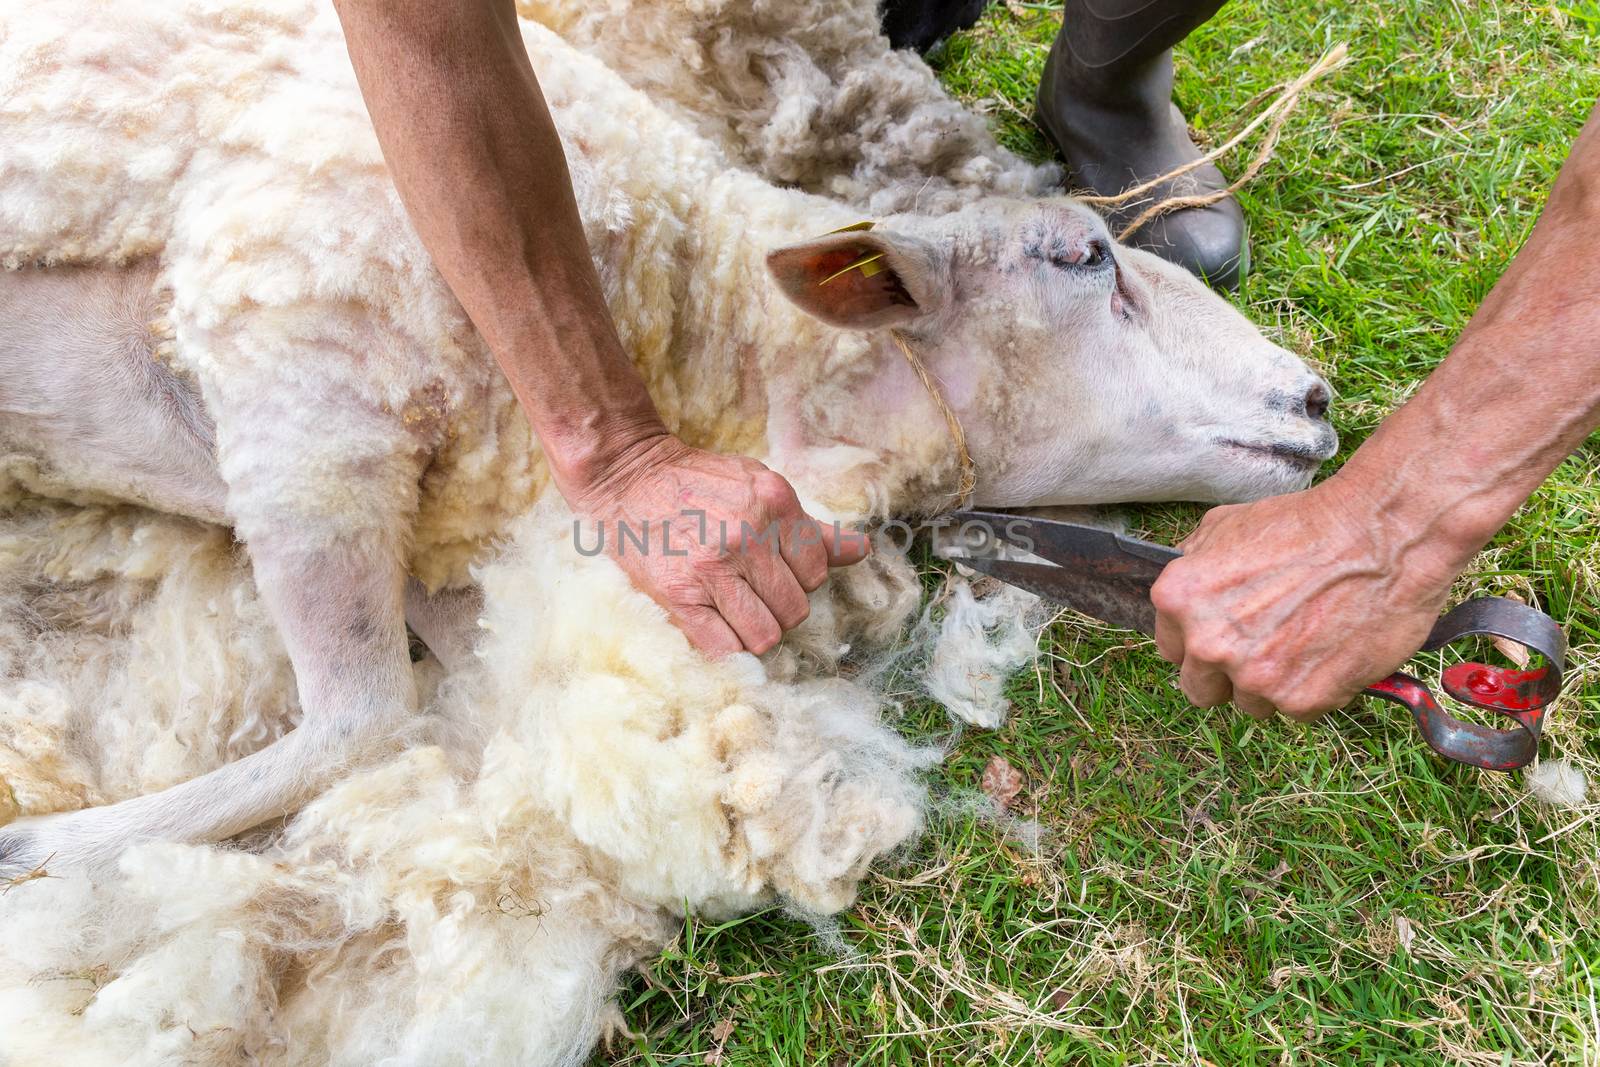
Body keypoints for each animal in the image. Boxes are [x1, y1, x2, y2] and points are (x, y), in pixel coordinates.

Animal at [0, 0, 1337, 1062]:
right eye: (1081, 254)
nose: (1318, 400)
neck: (692, 323)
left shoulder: (440, 534)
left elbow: (442, 694)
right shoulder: (298, 372)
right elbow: (364, 713)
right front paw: (47, 846)